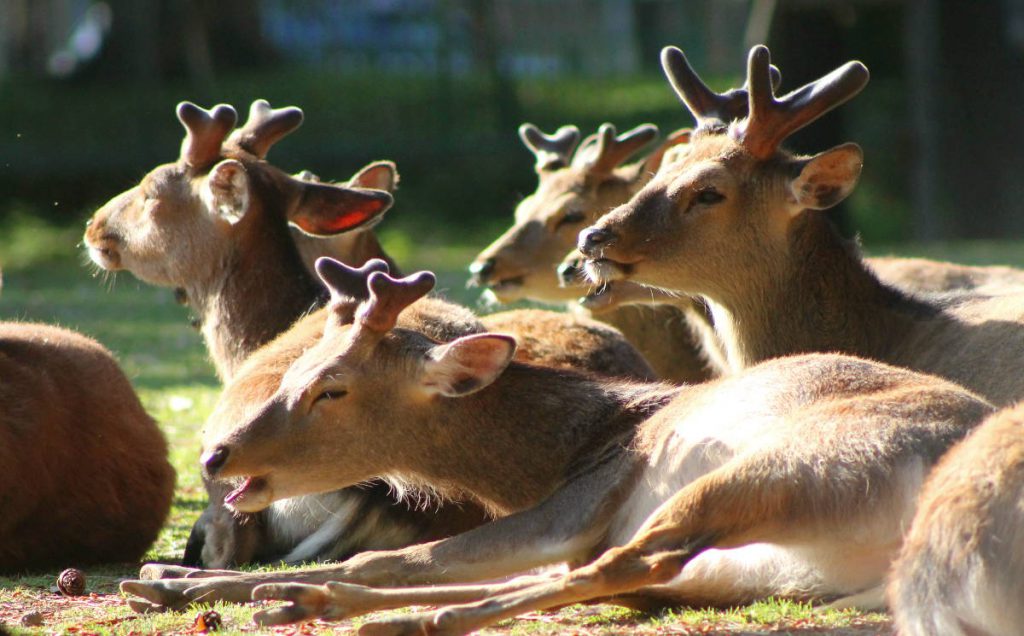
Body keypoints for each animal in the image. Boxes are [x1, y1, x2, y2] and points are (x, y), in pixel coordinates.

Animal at [117, 256, 992, 634]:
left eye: (330, 386)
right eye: (294, 365)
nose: (217, 455)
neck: (570, 445)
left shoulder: (580, 502)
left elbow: (389, 557)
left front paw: (192, 583)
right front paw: (176, 580)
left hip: (783, 466)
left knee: (622, 566)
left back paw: (396, 618)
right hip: (766, 564)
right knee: (627, 580)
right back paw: (289, 596)